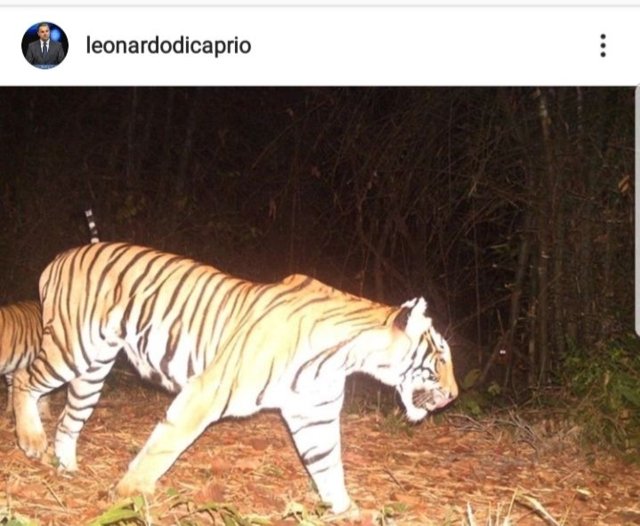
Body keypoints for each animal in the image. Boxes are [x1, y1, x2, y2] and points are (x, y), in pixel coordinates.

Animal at [13, 241, 458, 515]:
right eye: (440, 356)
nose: (454, 395)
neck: (345, 357)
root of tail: (59, 257)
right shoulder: (204, 392)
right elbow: (163, 448)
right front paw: (128, 494)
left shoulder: (313, 416)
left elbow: (328, 466)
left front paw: (347, 511)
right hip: (72, 349)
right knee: (21, 377)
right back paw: (31, 441)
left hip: (92, 370)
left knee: (69, 419)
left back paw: (66, 467)